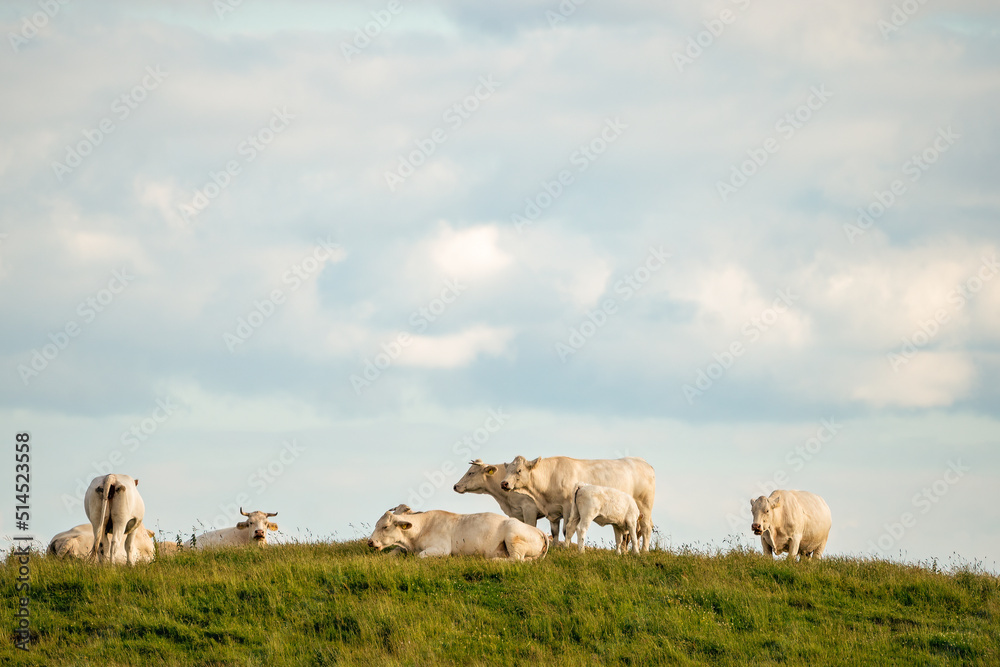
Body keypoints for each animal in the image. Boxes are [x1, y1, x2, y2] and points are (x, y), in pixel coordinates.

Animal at [367, 506, 549, 561]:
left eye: (385, 526)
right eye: (376, 525)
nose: (370, 542)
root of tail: (538, 531)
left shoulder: (441, 548)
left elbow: (420, 556)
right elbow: (394, 551)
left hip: (513, 536)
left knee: (516, 559)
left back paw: (495, 560)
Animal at [500, 455, 656, 551]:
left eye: (519, 470)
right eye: (507, 470)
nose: (504, 483)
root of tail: (643, 462)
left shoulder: (568, 507)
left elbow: (567, 529)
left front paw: (565, 547)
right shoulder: (553, 511)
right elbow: (555, 531)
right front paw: (555, 546)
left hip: (645, 505)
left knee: (646, 527)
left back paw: (644, 551)